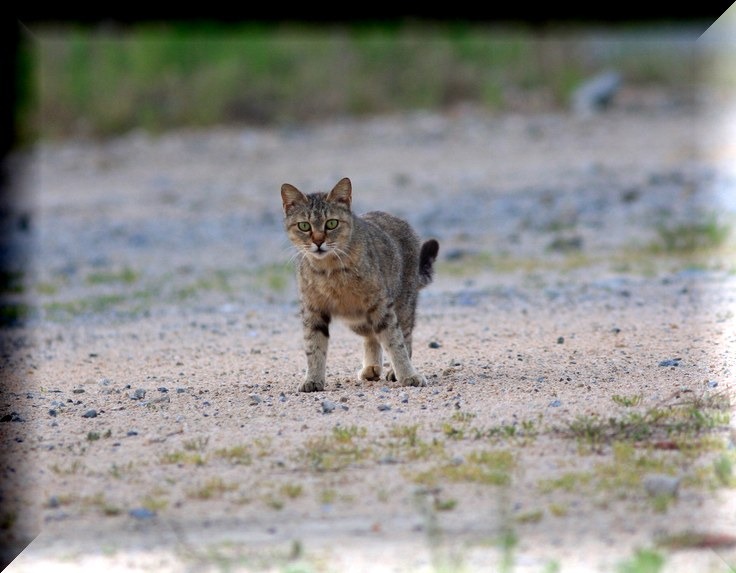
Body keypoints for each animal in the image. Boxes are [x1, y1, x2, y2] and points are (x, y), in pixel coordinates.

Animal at [280, 177, 440, 392]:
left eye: (331, 223)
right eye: (304, 226)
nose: (318, 242)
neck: (330, 270)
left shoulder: (382, 305)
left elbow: (395, 342)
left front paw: (408, 375)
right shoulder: (312, 310)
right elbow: (313, 347)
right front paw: (312, 379)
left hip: (403, 306)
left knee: (405, 336)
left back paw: (393, 371)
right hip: (357, 320)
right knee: (372, 336)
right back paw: (371, 367)